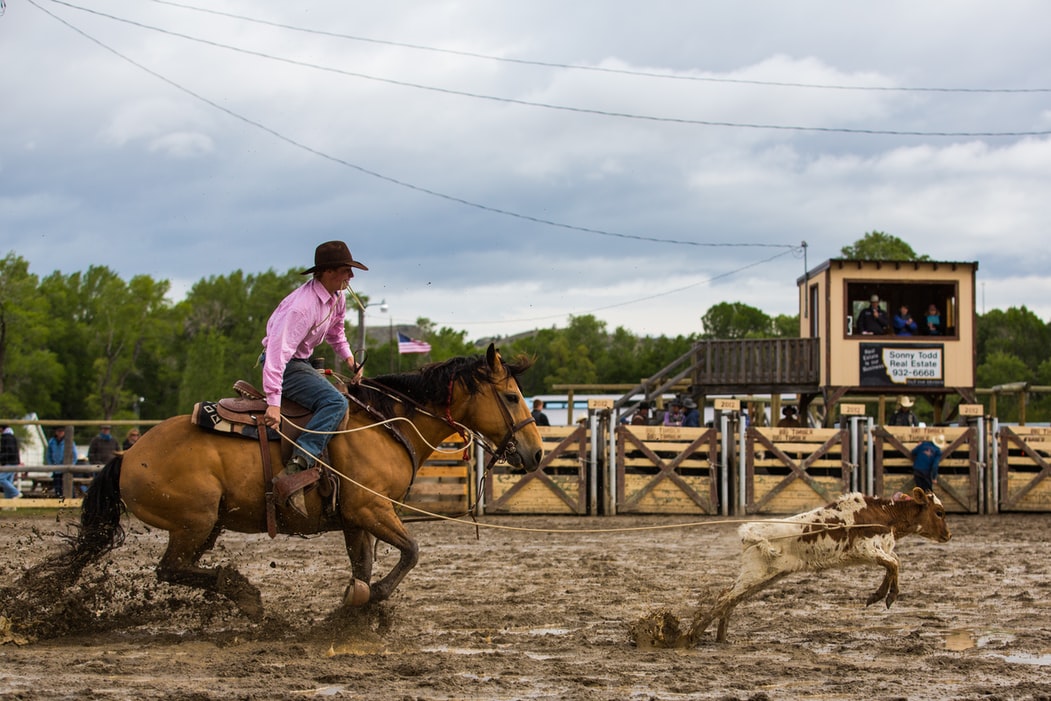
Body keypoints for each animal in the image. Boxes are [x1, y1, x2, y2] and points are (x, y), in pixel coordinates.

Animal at [56, 344, 542, 617]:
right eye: (511, 396)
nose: (536, 453)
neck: (385, 424)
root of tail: (129, 454)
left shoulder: (355, 519)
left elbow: (363, 565)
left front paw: (353, 606)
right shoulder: (370, 508)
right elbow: (411, 552)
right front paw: (373, 597)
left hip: (205, 525)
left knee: (178, 568)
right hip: (194, 520)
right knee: (170, 568)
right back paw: (245, 595)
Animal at [689, 487, 954, 643]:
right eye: (939, 512)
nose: (948, 535)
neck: (885, 515)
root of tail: (750, 533)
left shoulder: (877, 551)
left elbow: (894, 563)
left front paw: (884, 595)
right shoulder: (866, 549)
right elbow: (894, 564)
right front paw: (882, 596)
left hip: (765, 575)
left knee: (729, 598)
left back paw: (719, 637)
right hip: (756, 573)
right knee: (725, 599)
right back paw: (690, 636)